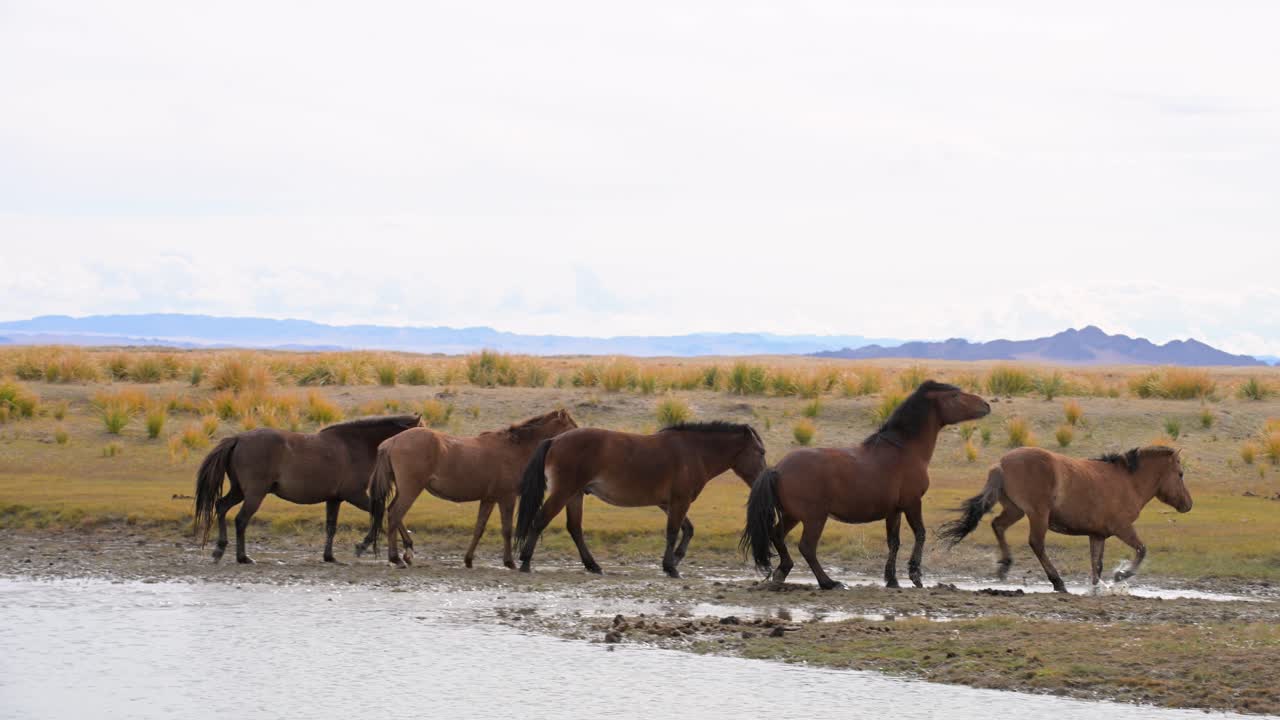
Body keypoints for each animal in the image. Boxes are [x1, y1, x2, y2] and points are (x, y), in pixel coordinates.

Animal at [193, 414, 422, 564]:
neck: (355, 445)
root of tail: (238, 438)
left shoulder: (335, 499)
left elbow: (331, 526)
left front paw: (329, 556)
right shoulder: (354, 495)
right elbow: (383, 511)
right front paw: (370, 546)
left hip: (240, 491)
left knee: (221, 507)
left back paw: (219, 550)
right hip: (254, 494)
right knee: (240, 520)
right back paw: (242, 557)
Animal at [362, 409, 579, 569]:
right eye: (571, 425)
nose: (579, 436)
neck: (514, 449)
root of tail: (393, 441)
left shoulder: (489, 499)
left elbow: (479, 529)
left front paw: (468, 559)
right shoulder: (506, 498)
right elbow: (507, 530)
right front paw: (509, 562)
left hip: (406, 489)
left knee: (392, 512)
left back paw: (405, 553)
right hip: (411, 489)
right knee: (394, 514)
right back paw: (396, 558)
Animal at [515, 421, 767, 578]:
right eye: (760, 452)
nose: (764, 478)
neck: (693, 451)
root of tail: (554, 440)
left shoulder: (668, 504)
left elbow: (688, 530)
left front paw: (676, 559)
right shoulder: (679, 501)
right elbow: (673, 532)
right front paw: (670, 567)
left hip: (575, 495)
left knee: (574, 528)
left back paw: (593, 565)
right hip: (564, 492)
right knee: (540, 521)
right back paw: (526, 562)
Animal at [741, 381, 990, 590]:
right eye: (955, 395)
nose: (986, 405)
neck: (904, 449)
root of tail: (777, 468)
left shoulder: (894, 511)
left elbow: (893, 543)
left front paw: (892, 580)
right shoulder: (912, 503)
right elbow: (920, 534)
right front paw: (915, 576)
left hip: (792, 515)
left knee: (777, 536)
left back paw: (782, 572)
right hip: (814, 518)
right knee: (807, 547)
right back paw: (828, 582)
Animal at [938, 445, 1191, 592]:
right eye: (1180, 474)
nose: (1188, 504)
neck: (1127, 482)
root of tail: (1001, 463)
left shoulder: (1097, 535)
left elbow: (1096, 565)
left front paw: (1097, 588)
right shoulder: (1123, 528)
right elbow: (1141, 550)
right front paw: (1120, 576)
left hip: (1016, 510)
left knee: (998, 525)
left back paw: (1005, 567)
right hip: (1038, 515)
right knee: (1036, 544)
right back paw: (1057, 582)